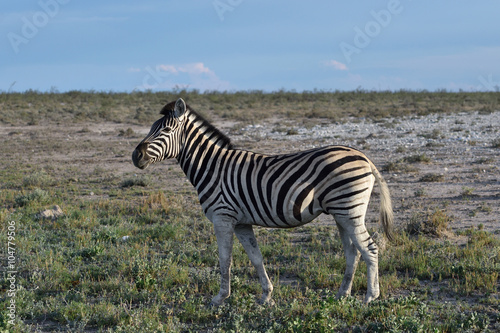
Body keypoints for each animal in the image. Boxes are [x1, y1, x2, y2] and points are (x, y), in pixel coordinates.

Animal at [133, 97, 394, 304]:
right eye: (151, 128)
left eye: (165, 131)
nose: (136, 156)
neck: (212, 167)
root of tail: (364, 157)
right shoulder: (241, 222)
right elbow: (256, 257)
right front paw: (266, 295)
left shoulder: (222, 218)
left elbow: (225, 259)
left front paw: (220, 298)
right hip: (342, 214)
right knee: (353, 252)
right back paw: (342, 294)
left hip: (349, 211)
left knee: (369, 248)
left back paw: (370, 297)